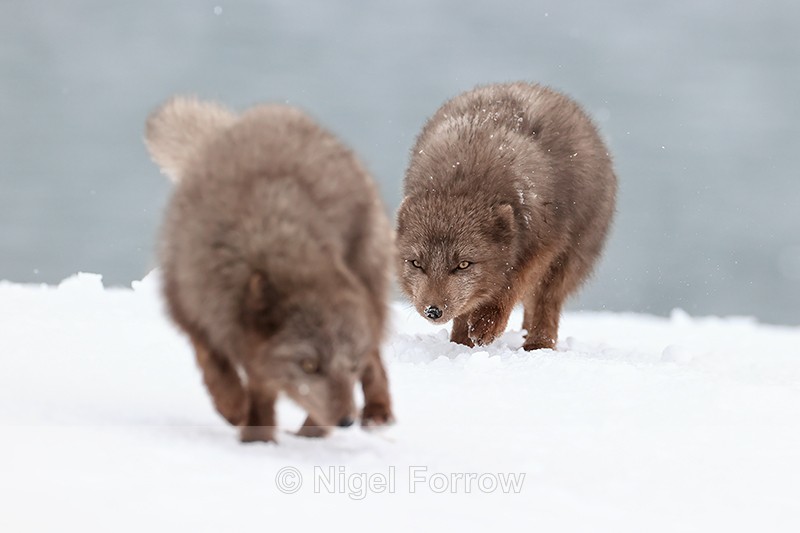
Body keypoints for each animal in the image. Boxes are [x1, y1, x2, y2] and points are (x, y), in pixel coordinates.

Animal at [145, 96, 394, 443]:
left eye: (351, 366)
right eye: (309, 365)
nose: (346, 420)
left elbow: (262, 385)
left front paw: (258, 437)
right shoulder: (191, 307)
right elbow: (217, 365)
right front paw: (241, 417)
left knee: (377, 360)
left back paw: (364, 417)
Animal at [396, 82, 617, 350]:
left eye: (463, 265)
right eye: (416, 263)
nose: (433, 311)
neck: (461, 180)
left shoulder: (544, 241)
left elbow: (512, 284)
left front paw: (487, 324)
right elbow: (467, 307)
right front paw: (461, 343)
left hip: (571, 255)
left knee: (546, 300)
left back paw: (538, 345)